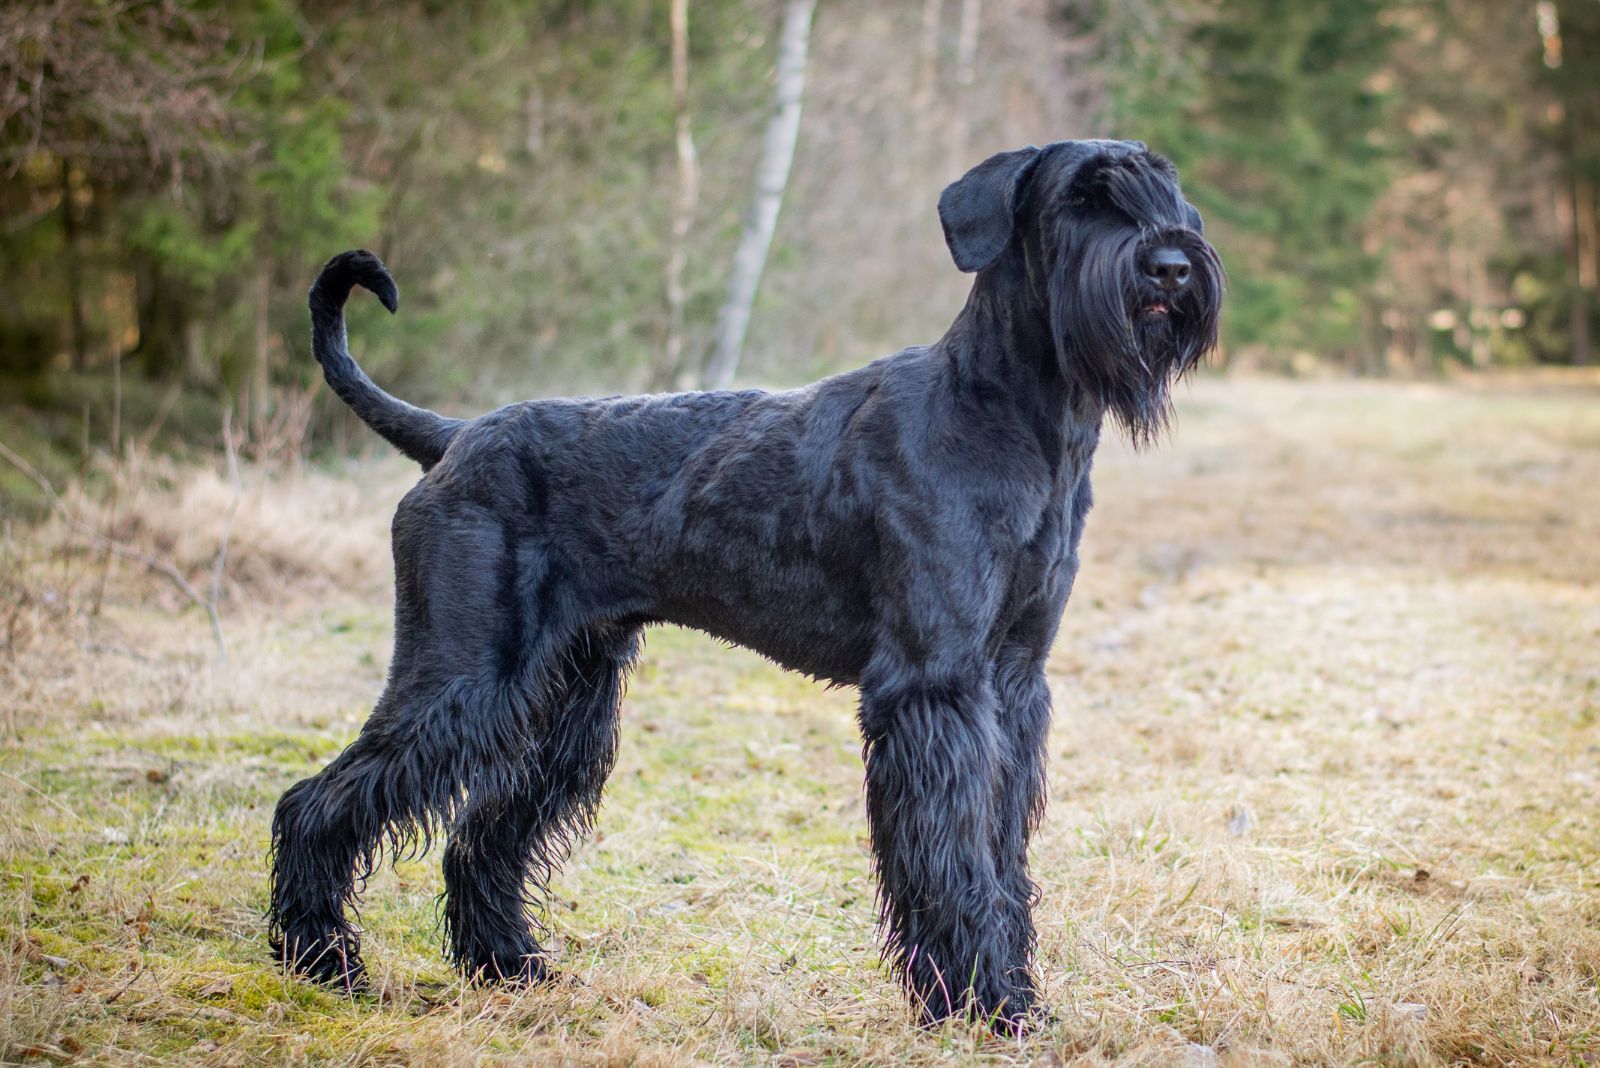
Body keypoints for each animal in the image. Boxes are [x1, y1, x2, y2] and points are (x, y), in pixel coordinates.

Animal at [272, 139, 1222, 1023]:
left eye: (1167, 189)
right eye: (1082, 199)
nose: (1173, 264)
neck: (1015, 414)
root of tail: (454, 437)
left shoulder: (1015, 683)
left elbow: (1002, 852)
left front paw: (1010, 991)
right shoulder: (936, 683)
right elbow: (956, 858)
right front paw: (986, 1006)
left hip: (562, 700)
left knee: (481, 834)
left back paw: (508, 966)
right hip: (465, 675)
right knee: (316, 802)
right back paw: (320, 958)